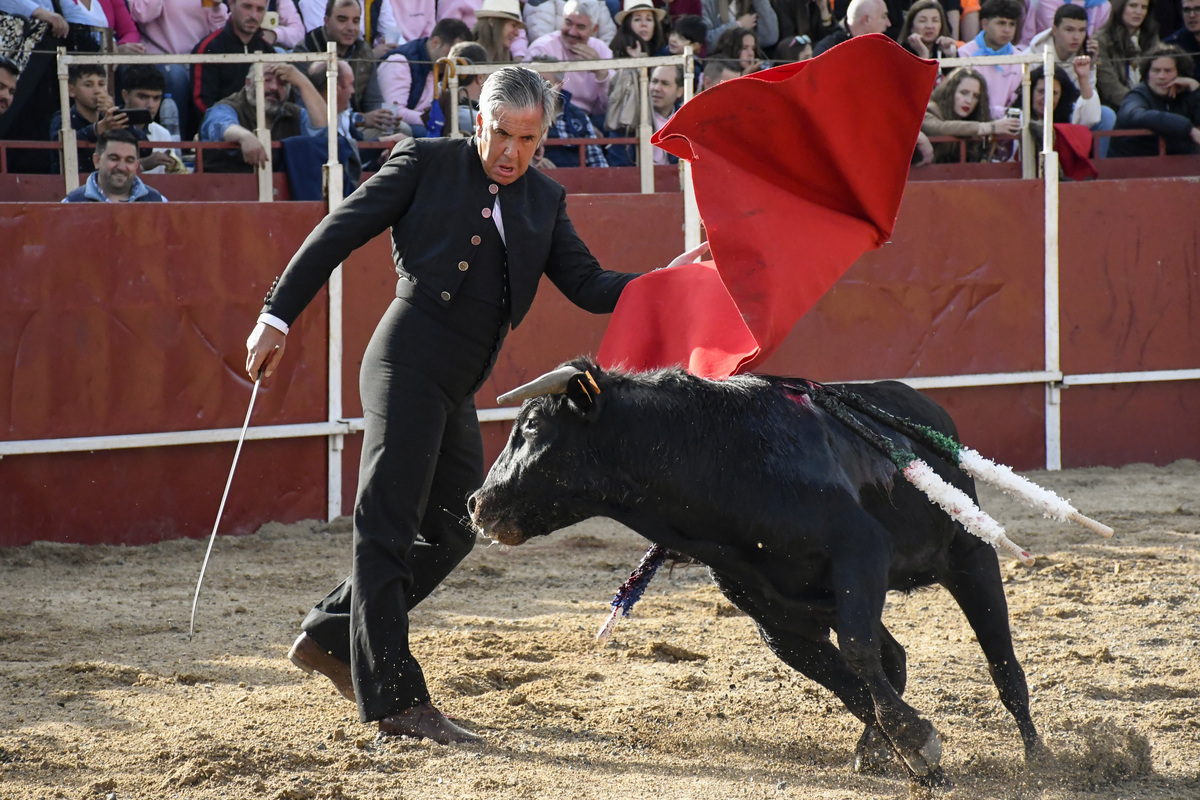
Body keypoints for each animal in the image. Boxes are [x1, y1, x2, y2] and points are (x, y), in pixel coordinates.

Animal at [463, 362, 1046, 796]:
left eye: (531, 426)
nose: (476, 502)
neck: (717, 457)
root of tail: (929, 410)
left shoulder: (860, 551)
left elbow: (858, 655)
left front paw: (916, 744)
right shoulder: (777, 617)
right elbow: (850, 683)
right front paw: (907, 753)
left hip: (970, 556)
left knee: (1004, 665)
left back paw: (1040, 760)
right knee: (896, 657)